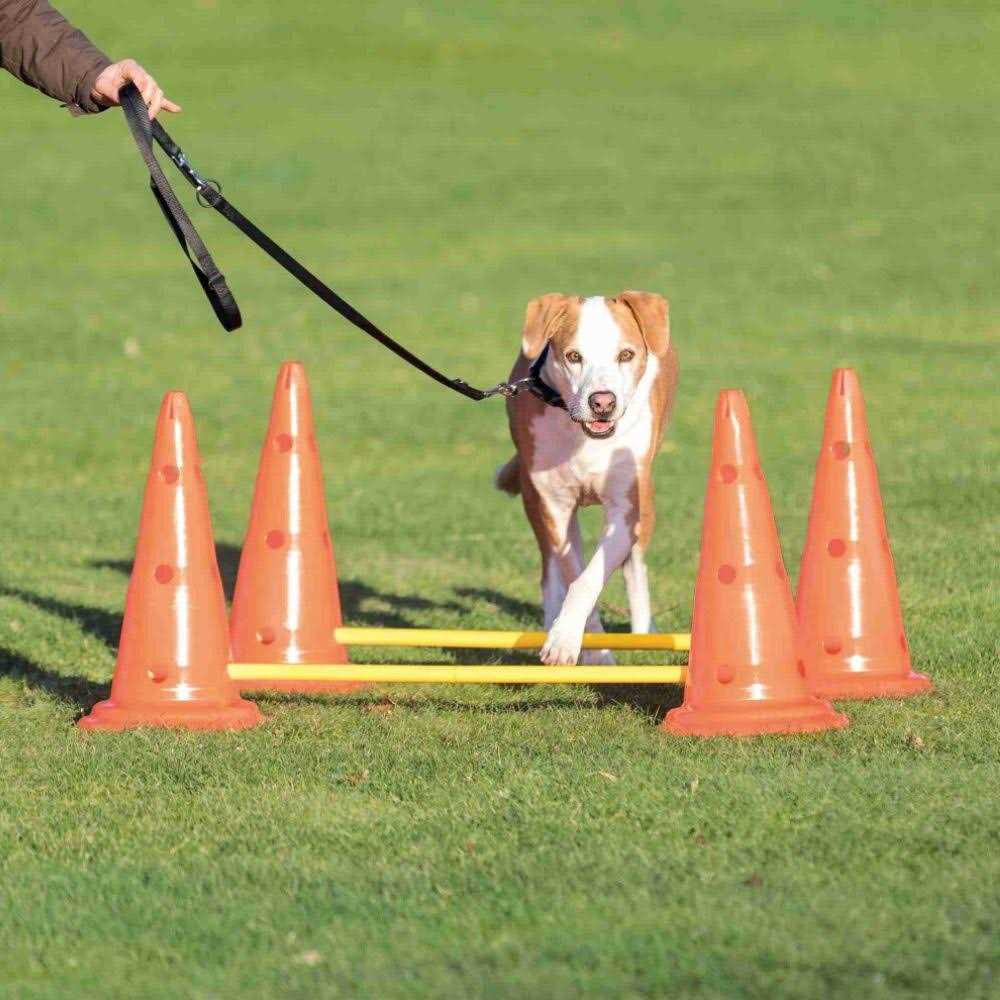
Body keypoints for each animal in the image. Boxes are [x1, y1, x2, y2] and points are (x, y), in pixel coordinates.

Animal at [495, 291, 678, 665]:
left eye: (626, 354)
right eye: (573, 356)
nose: (602, 402)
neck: (583, 437)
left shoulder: (625, 507)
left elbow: (590, 578)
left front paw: (571, 640)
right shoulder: (555, 504)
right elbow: (573, 573)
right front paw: (584, 649)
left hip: (646, 501)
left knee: (635, 565)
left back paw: (643, 633)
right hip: (535, 501)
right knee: (550, 566)